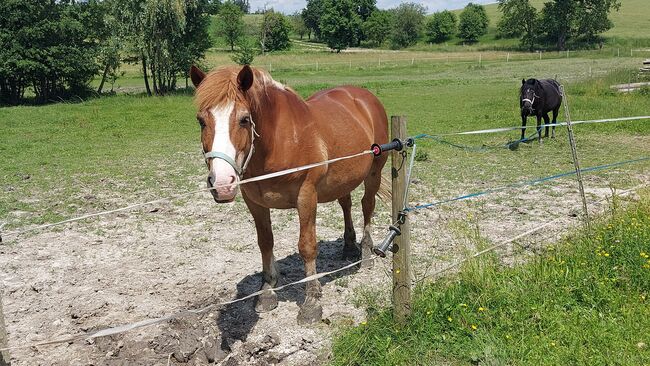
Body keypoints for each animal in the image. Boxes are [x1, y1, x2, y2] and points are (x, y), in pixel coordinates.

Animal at [190, 65, 388, 324]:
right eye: (201, 121)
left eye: (244, 120)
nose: (222, 183)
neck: (279, 142)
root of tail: (365, 97)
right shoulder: (255, 202)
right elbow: (265, 242)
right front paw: (267, 291)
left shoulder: (306, 197)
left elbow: (307, 246)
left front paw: (312, 302)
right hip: (343, 178)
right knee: (346, 203)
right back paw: (348, 247)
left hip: (374, 172)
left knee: (367, 206)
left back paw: (365, 254)